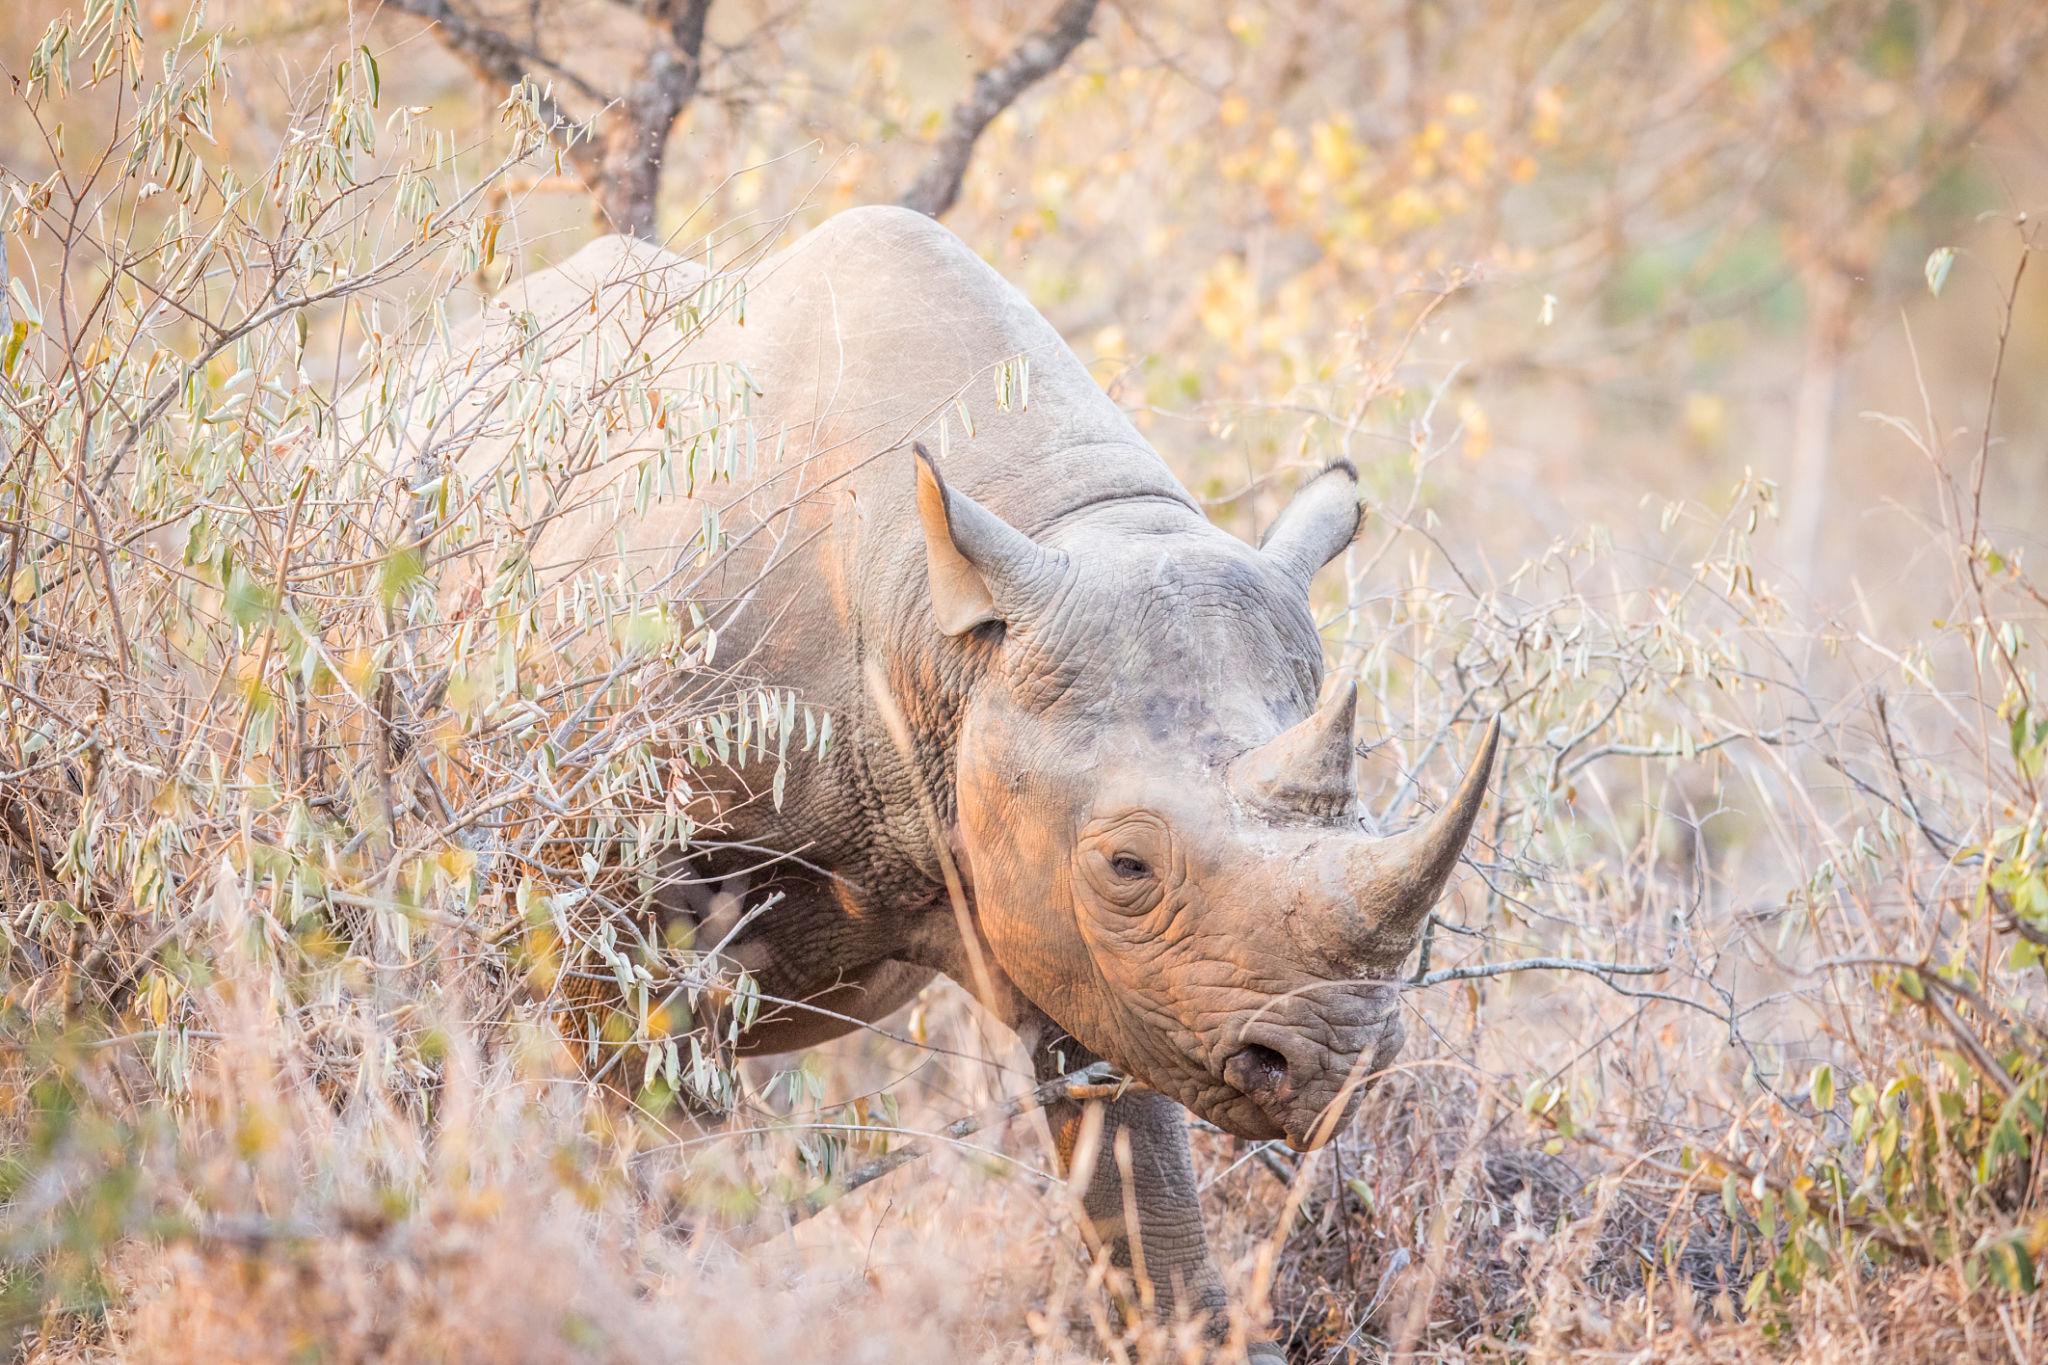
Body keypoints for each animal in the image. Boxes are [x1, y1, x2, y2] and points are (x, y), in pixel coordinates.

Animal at [424, 206, 1497, 1358]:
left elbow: (1138, 1183)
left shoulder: (1081, 935)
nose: (1342, 1070)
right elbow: (665, 1114)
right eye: (1127, 864)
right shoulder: (608, 856)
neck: (948, 632)